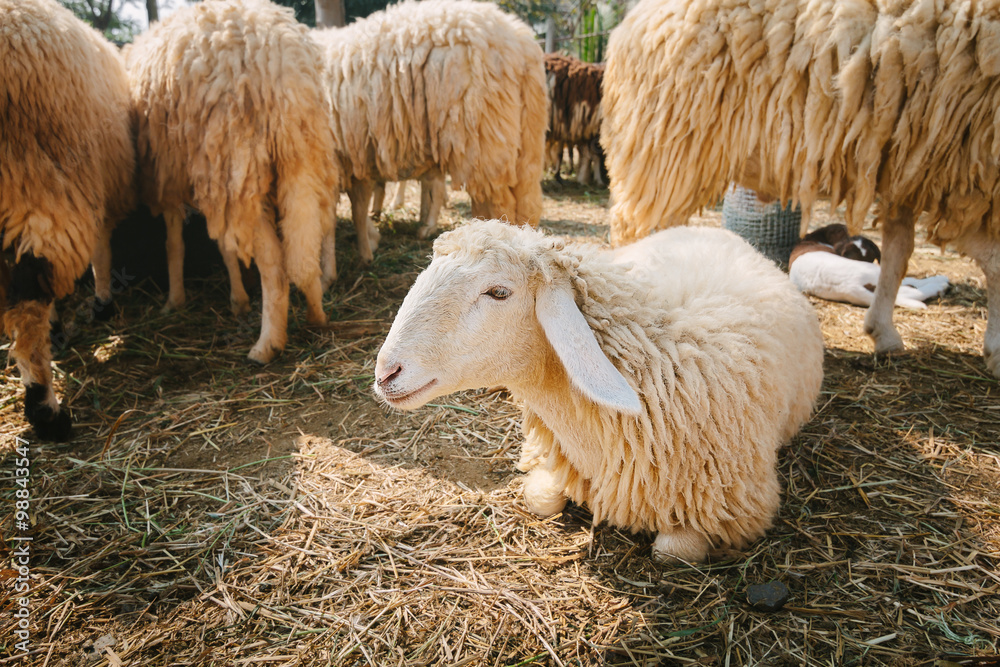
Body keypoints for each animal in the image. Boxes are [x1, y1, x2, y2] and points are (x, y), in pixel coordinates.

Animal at [0, 0, 136, 440]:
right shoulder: (92, 186)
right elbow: (102, 249)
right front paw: (103, 303)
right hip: (37, 181)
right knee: (27, 301)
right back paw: (47, 410)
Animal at [127, 0, 340, 362]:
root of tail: (276, 56)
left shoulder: (170, 179)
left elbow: (175, 242)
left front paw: (175, 300)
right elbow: (225, 247)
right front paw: (239, 296)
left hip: (238, 167)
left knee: (275, 264)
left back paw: (267, 344)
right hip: (300, 154)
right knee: (302, 249)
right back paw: (316, 314)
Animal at [312, 0, 548, 256]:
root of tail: (521, 43)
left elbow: (354, 205)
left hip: (486, 142)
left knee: (500, 205)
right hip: (525, 140)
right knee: (527, 204)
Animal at [372, 220, 824, 564]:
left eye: (498, 292)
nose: (386, 373)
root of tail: (710, 227)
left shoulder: (732, 505)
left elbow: (672, 549)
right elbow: (540, 497)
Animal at [600, 0, 1000, 378]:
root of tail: (628, 25)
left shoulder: (909, 169)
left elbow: (898, 254)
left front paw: (883, 332)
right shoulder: (967, 171)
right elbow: (993, 263)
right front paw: (995, 351)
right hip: (667, 146)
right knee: (640, 233)